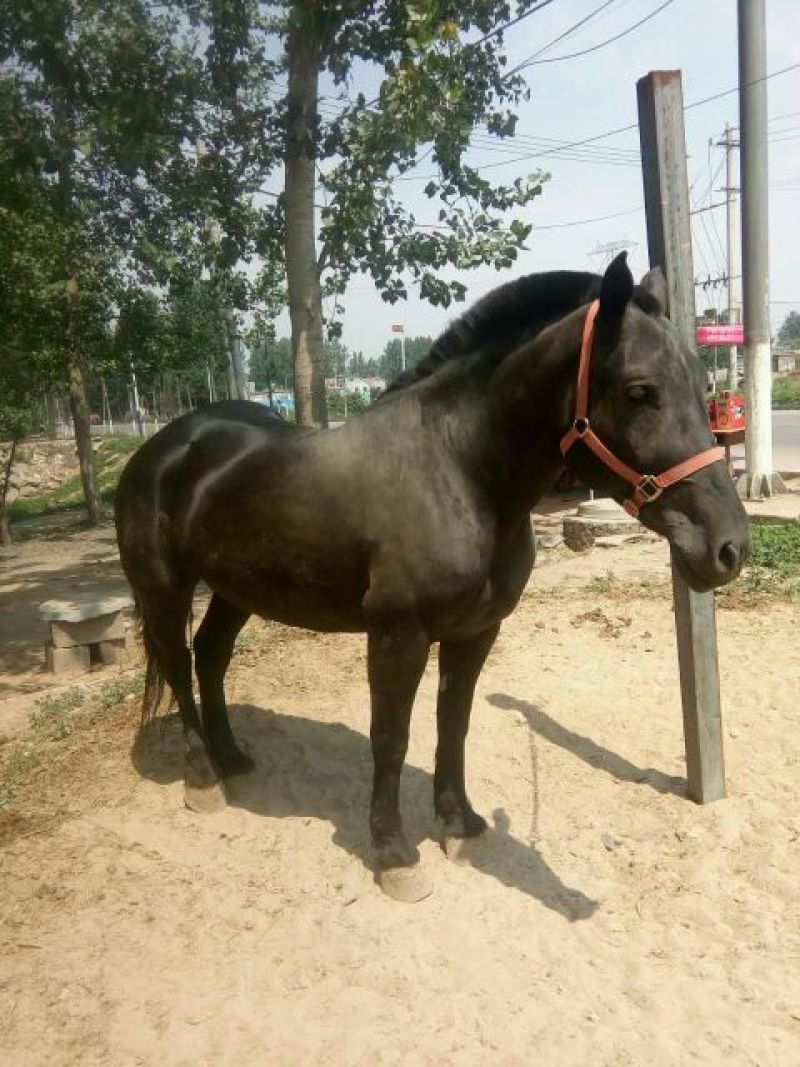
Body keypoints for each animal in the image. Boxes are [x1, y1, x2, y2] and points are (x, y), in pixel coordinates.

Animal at [114, 253, 749, 901]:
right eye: (640, 390)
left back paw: (232, 758)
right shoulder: (399, 635)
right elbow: (391, 737)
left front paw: (458, 823)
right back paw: (202, 778)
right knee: (179, 666)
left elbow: (453, 724)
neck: (457, 470)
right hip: (165, 590)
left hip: (234, 590)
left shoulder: (476, 632)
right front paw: (395, 854)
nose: (729, 547)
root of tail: (164, 446)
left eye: (701, 387)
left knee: (211, 657)